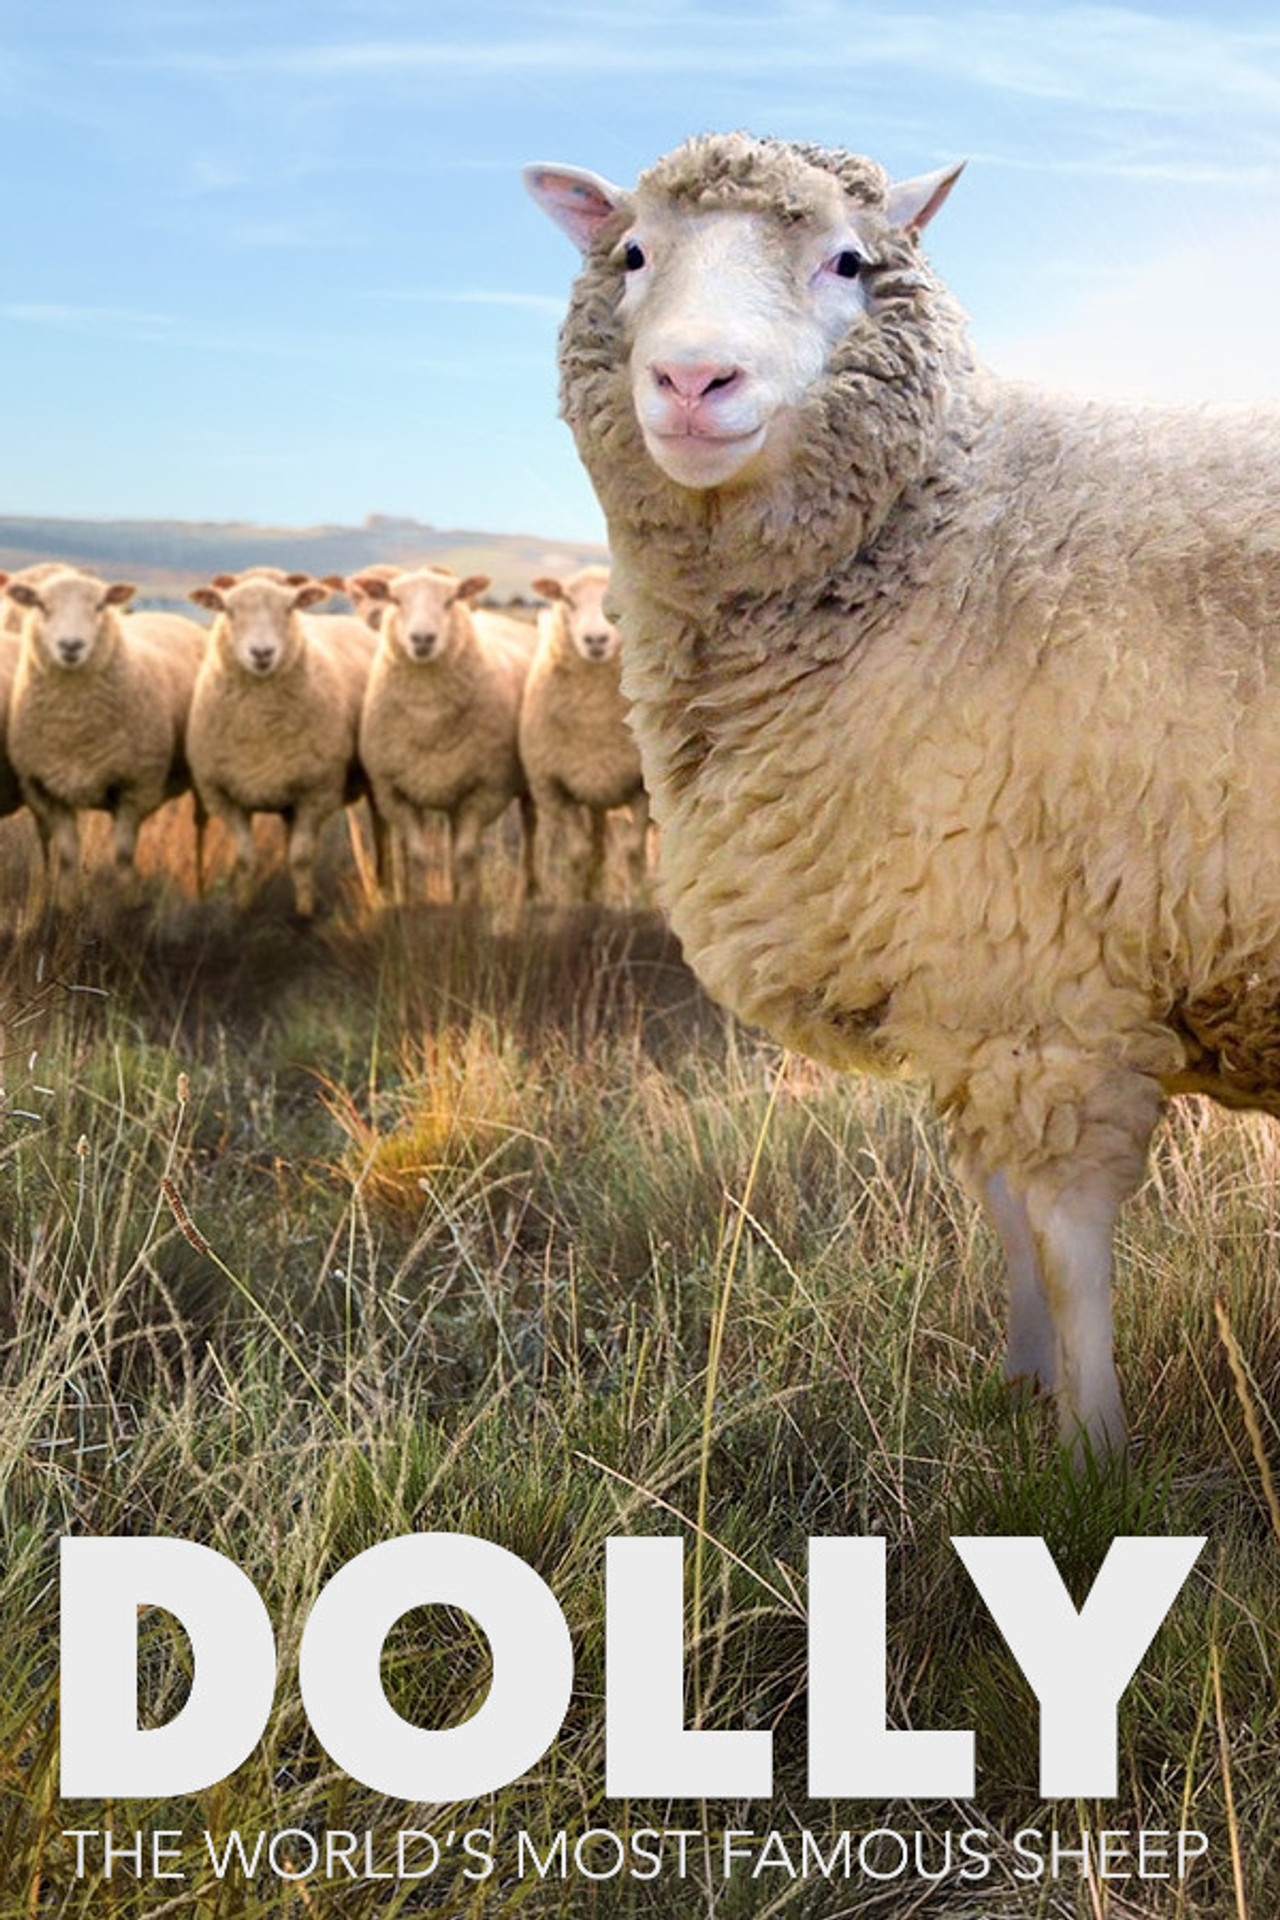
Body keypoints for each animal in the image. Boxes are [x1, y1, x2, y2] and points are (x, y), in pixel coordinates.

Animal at [4, 565, 206, 904]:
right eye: (40, 605)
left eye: (99, 605)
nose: (71, 645)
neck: (74, 726)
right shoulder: (45, 791)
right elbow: (67, 857)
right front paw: (65, 905)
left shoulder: (134, 789)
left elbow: (123, 856)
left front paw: (127, 902)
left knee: (201, 826)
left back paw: (203, 889)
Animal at [187, 574, 382, 917]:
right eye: (228, 609)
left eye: (289, 608)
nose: (262, 652)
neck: (261, 729)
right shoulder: (224, 797)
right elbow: (245, 859)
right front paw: (243, 908)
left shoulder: (316, 792)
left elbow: (301, 857)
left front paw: (305, 913)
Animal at [353, 566, 536, 907]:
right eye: (395, 599)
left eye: (450, 600)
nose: (423, 638)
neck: (430, 721)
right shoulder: (395, 794)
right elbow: (418, 856)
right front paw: (419, 906)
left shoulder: (483, 791)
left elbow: (464, 856)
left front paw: (465, 909)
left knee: (530, 828)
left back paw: (527, 892)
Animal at [520, 566, 649, 903]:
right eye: (568, 600)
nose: (596, 639)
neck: (594, 719)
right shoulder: (554, 788)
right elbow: (577, 853)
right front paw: (574, 902)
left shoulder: (642, 786)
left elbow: (634, 851)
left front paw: (640, 901)